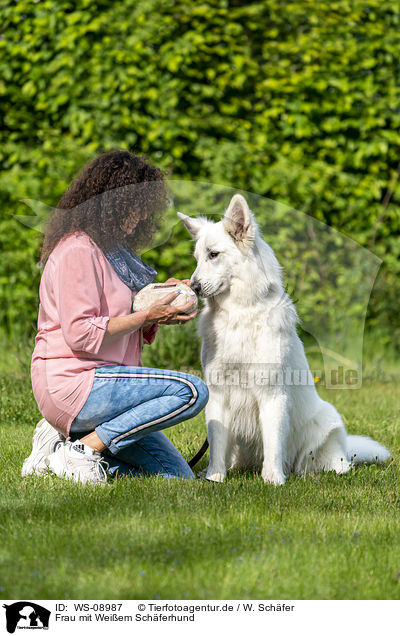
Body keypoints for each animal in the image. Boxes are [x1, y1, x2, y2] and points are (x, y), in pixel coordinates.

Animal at [178, 196, 390, 484]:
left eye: (214, 254)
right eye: (198, 258)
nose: (194, 287)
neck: (240, 312)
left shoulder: (272, 394)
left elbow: (273, 443)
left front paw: (273, 480)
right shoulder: (218, 393)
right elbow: (217, 443)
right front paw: (215, 478)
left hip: (326, 425)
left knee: (331, 465)